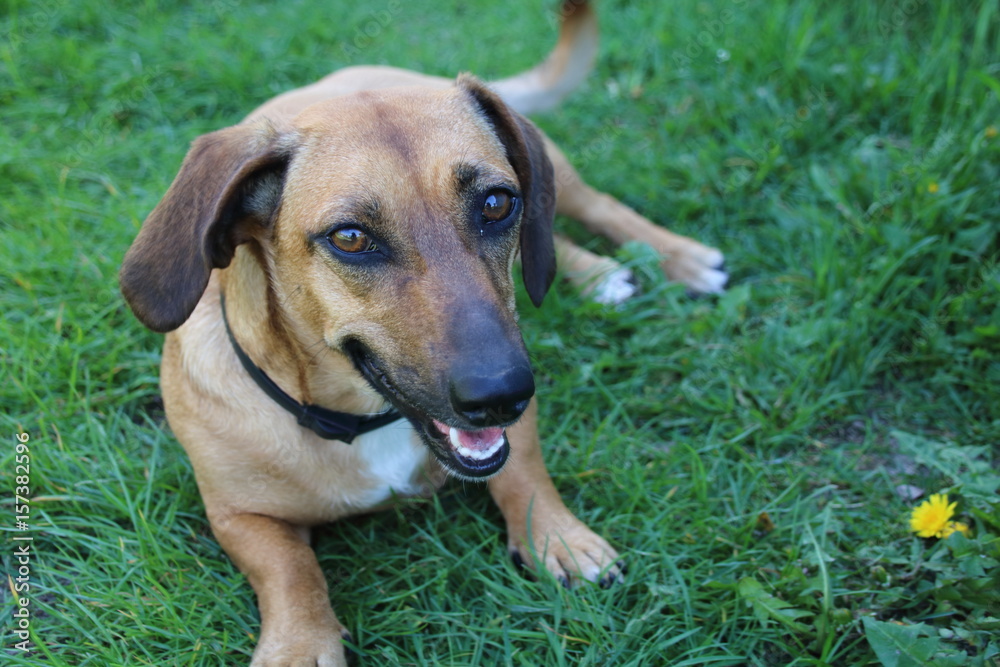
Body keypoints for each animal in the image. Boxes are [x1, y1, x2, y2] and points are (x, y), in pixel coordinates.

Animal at [121, 2, 724, 664]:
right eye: (351, 237)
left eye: (496, 203)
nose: (503, 395)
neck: (361, 422)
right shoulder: (237, 515)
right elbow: (289, 570)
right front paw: (301, 641)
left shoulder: (515, 430)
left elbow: (525, 472)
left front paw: (559, 538)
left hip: (553, 171)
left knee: (588, 211)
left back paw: (677, 259)